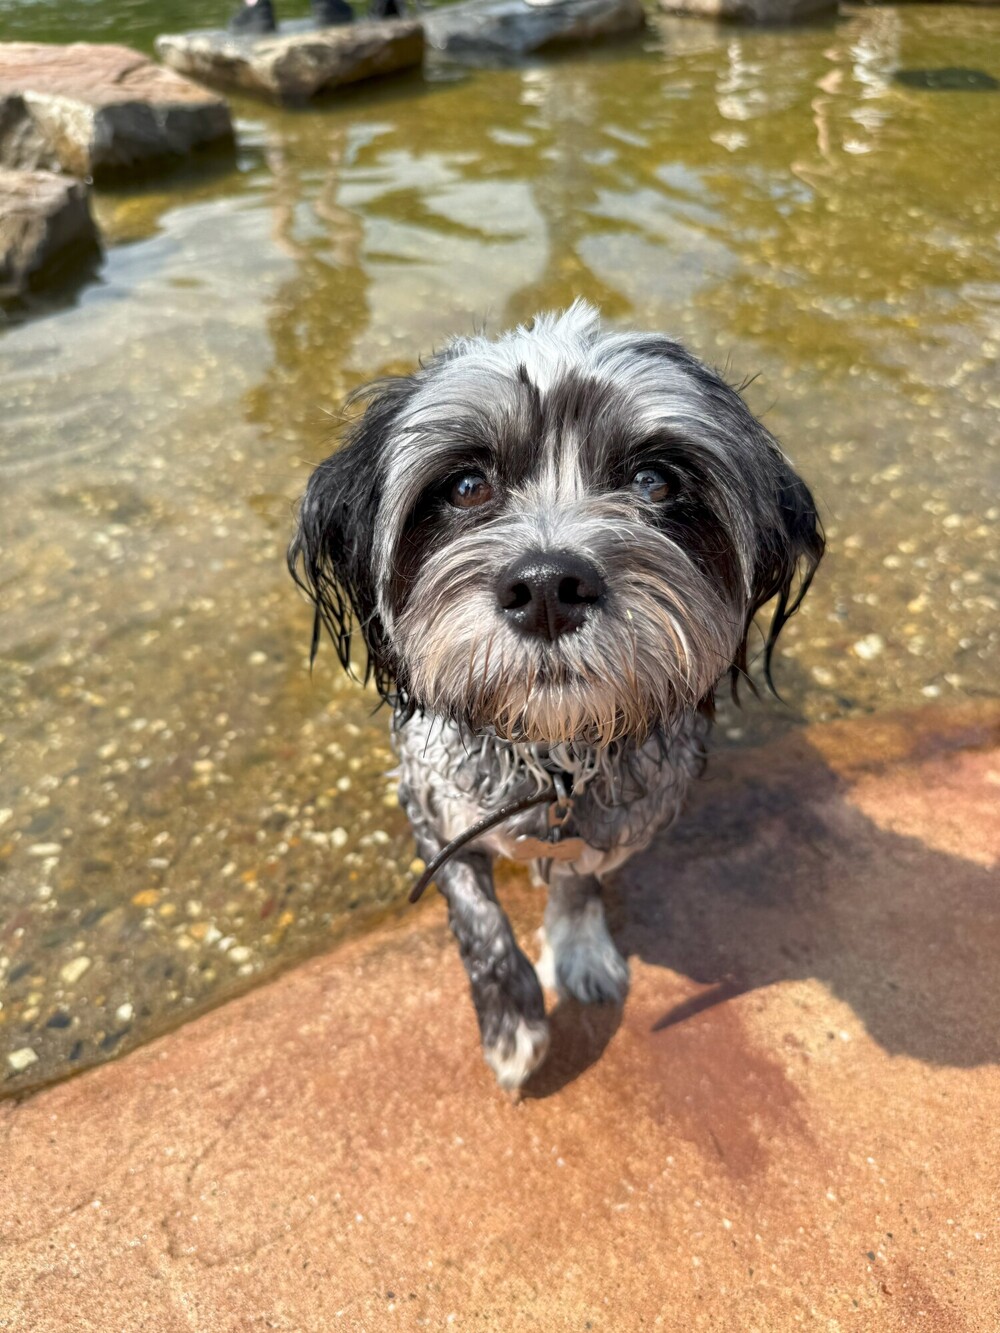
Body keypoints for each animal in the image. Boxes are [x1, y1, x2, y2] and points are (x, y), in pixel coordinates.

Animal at [289, 302, 823, 1091]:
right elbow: (478, 917)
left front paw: (578, 951)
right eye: (466, 486)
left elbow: (579, 880)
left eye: (655, 481)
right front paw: (512, 1022)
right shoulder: (431, 806)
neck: (551, 753)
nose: (547, 587)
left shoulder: (612, 820)